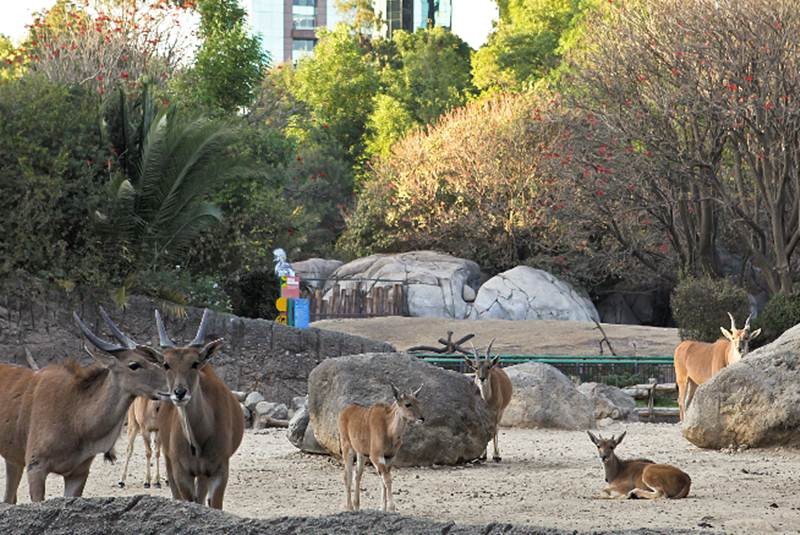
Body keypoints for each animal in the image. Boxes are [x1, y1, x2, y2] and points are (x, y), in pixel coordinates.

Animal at [0, 308, 165, 504]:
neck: (75, 416)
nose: (176, 389)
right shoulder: (36, 467)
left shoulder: (78, 473)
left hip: (13, 459)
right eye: (134, 364)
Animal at [154, 310, 244, 510]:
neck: (198, 440)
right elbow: (188, 501)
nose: (179, 393)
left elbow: (214, 505)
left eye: (194, 363)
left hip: (203, 474)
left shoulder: (219, 470)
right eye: (166, 364)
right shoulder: (182, 472)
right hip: (169, 462)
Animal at [338, 384, 424, 512]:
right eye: (407, 404)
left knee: (357, 475)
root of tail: (344, 411)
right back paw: (350, 507)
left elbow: (383, 480)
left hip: (361, 453)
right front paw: (391, 507)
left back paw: (357, 505)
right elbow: (387, 479)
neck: (389, 430)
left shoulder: (389, 457)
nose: (421, 419)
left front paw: (383, 507)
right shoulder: (376, 456)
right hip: (347, 447)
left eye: (418, 402)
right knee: (347, 475)